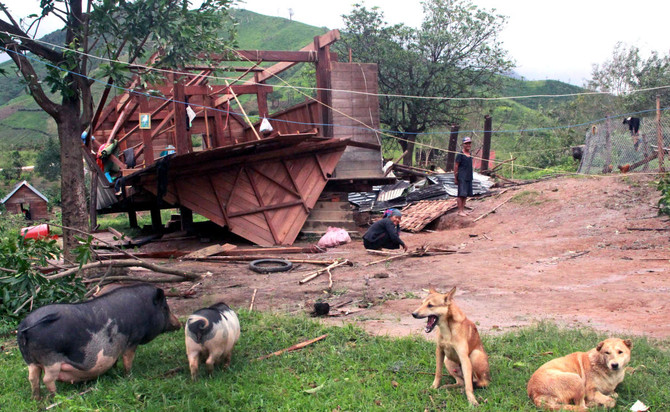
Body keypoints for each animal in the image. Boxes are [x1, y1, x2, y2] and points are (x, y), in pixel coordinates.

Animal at [17, 284, 181, 398]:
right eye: (165, 307)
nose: (178, 324)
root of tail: (25, 326)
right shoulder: (132, 340)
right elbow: (128, 360)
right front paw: (130, 377)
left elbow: (115, 360)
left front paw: (114, 370)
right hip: (51, 360)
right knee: (47, 379)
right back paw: (55, 397)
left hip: (30, 361)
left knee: (33, 378)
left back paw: (36, 399)